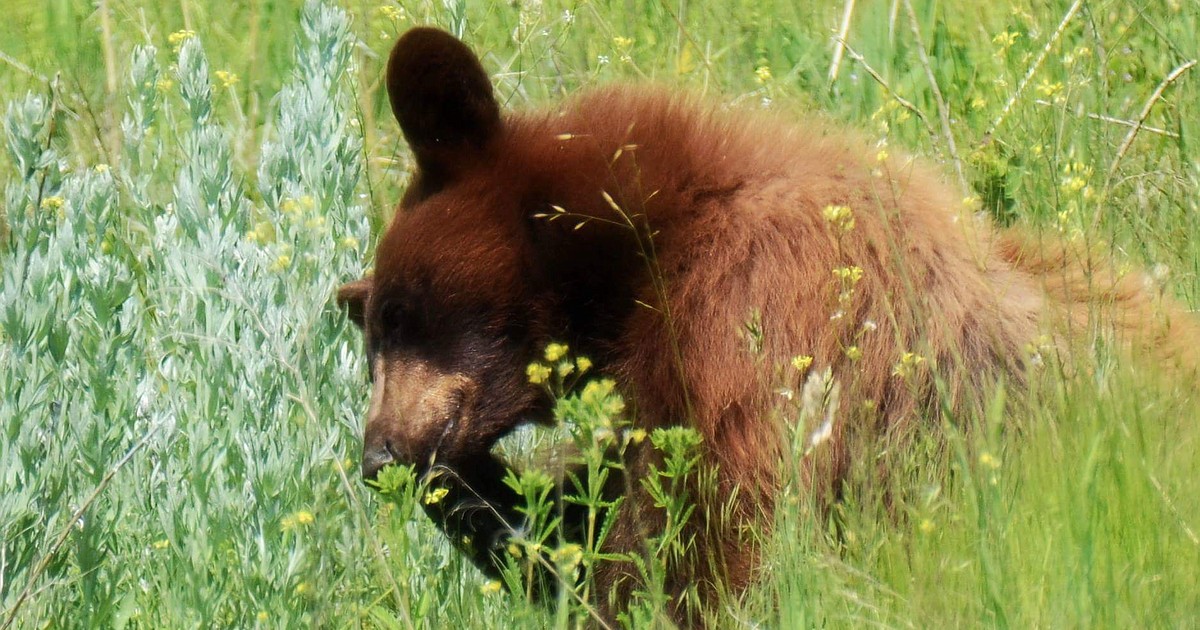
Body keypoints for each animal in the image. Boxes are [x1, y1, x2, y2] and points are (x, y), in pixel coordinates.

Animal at [337, 27, 1199, 626]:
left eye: (402, 314)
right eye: (373, 333)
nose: (379, 454)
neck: (651, 237)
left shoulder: (758, 312)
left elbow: (710, 541)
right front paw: (475, 498)